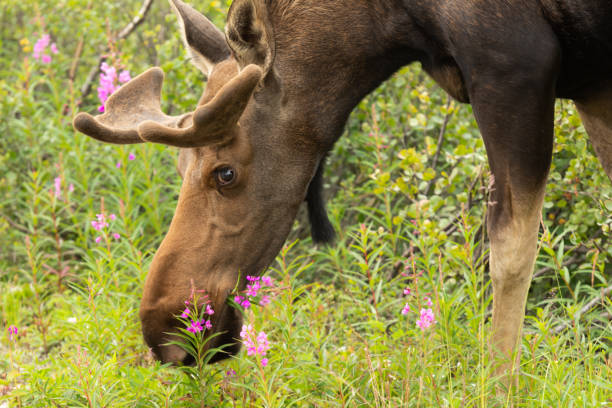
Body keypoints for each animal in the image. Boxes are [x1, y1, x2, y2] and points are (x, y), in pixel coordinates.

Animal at [73, 0, 612, 386]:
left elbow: (510, 253)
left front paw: (500, 387)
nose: (165, 326)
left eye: (225, 173)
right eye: (182, 164)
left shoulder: (513, 64)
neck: (398, 22)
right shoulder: (592, 83)